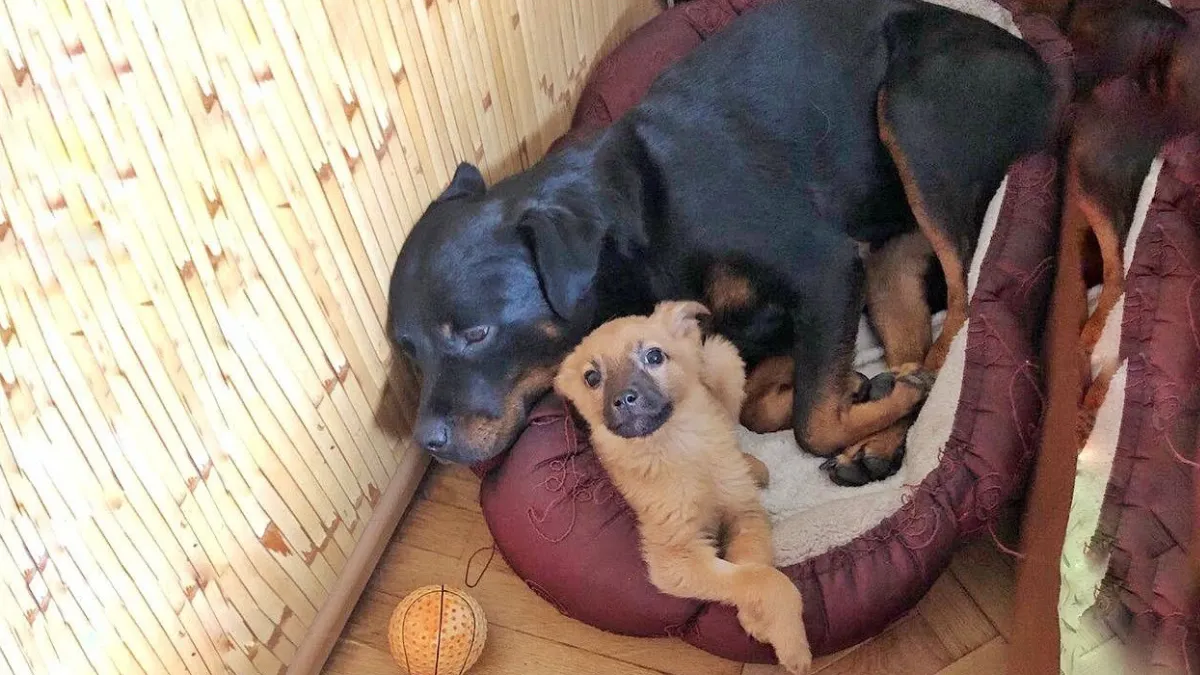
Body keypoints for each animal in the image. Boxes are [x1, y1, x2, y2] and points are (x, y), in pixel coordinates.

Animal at [386, 0, 1051, 482]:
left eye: (475, 333)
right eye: (409, 352)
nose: (428, 442)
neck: (637, 222)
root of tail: (1046, 68)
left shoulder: (825, 269)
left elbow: (812, 423)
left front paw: (862, 400)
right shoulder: (779, 316)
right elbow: (762, 403)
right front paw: (857, 390)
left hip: (916, 118)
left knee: (963, 306)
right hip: (890, 254)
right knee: (916, 328)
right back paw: (884, 431)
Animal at [556, 300, 811, 672]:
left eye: (654, 356)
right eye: (592, 378)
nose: (624, 399)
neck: (677, 445)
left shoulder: (745, 513)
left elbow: (755, 561)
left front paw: (761, 621)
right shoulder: (676, 558)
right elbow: (761, 577)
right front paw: (790, 643)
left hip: (722, 357)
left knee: (730, 423)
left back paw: (751, 464)